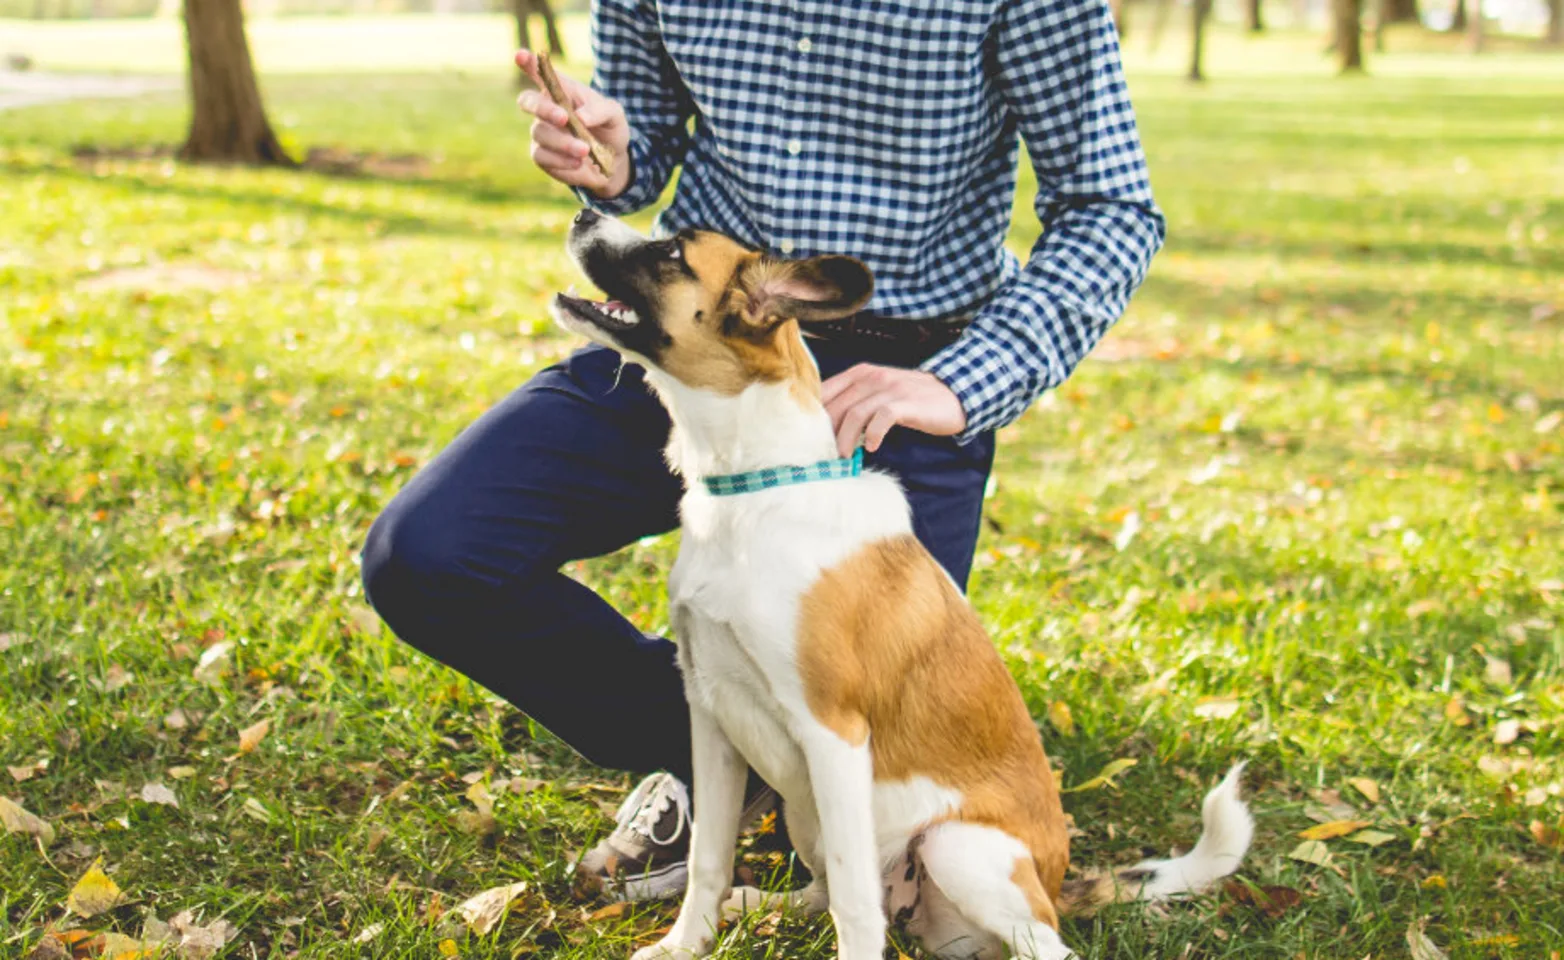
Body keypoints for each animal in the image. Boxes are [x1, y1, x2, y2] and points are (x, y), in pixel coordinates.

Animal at [556, 212, 1251, 960]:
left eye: (671, 250)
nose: (582, 213)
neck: (756, 492)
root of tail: (1056, 887)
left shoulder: (832, 735)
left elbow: (857, 907)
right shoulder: (711, 717)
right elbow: (710, 859)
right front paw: (686, 944)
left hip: (956, 847)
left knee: (1020, 940)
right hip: (810, 815)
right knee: (828, 890)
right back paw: (760, 902)